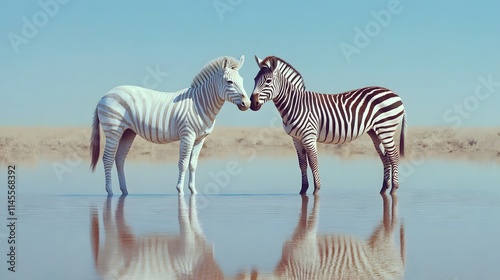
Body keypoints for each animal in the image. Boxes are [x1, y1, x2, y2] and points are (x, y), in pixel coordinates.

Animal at [90, 54, 250, 195]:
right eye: (229, 82)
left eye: (242, 81)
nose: (247, 104)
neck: (199, 103)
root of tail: (104, 96)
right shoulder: (187, 135)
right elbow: (183, 163)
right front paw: (180, 190)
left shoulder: (200, 138)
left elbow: (193, 164)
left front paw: (193, 191)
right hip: (113, 130)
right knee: (108, 158)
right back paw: (110, 192)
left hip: (128, 132)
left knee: (119, 158)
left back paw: (124, 191)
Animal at [250, 55, 406, 194]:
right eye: (254, 80)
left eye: (268, 81)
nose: (252, 103)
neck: (295, 104)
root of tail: (396, 95)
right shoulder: (296, 138)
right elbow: (302, 164)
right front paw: (303, 190)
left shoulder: (308, 136)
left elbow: (313, 162)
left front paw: (316, 190)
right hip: (375, 131)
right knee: (385, 157)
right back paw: (384, 188)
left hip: (386, 129)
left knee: (394, 156)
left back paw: (394, 188)